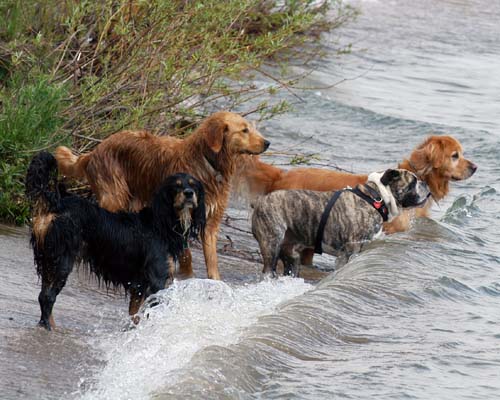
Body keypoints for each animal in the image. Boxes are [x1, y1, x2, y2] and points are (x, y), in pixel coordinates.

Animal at [24, 152, 205, 330]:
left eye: (193, 185)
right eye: (176, 186)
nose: (189, 193)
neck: (161, 224)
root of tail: (57, 204)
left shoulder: (139, 285)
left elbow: (134, 315)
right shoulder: (157, 279)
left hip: (47, 259)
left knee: (43, 295)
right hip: (62, 261)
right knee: (47, 297)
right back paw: (48, 328)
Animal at [55, 109, 270, 280]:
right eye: (244, 130)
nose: (267, 143)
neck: (208, 163)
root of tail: (94, 151)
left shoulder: (211, 220)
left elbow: (211, 258)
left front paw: (214, 281)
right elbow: (186, 253)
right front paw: (187, 275)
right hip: (114, 195)